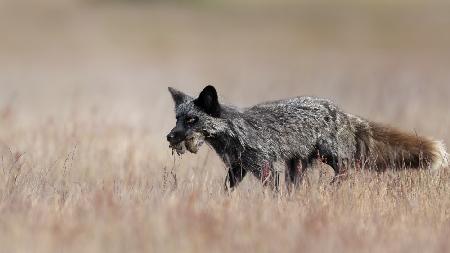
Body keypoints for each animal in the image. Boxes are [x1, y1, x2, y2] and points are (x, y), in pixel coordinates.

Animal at [167, 86, 448, 191]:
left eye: (192, 120)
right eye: (178, 118)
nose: (170, 136)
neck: (235, 133)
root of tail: (342, 113)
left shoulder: (264, 165)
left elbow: (273, 191)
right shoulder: (238, 167)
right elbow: (227, 190)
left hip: (329, 156)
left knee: (348, 170)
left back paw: (331, 190)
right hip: (298, 165)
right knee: (298, 184)